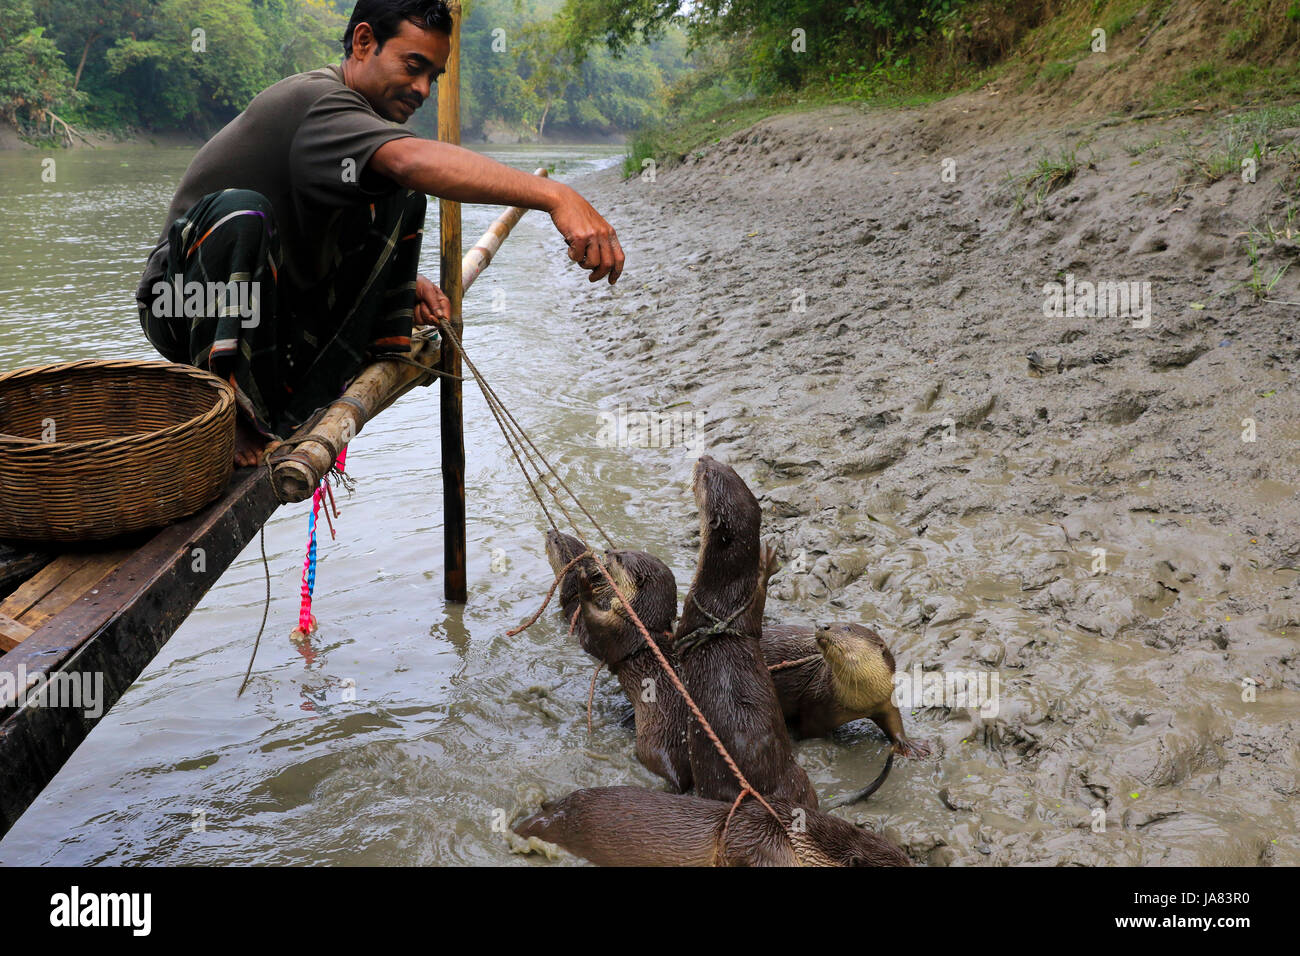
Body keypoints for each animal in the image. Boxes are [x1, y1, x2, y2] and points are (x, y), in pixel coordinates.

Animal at [670, 455, 811, 806]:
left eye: (708, 475)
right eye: (727, 467)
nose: (703, 457)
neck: (722, 598)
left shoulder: (690, 612)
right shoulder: (748, 609)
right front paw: (768, 561)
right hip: (800, 781)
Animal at [759, 624, 935, 759]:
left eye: (846, 628)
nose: (823, 625)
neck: (861, 702)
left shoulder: (885, 699)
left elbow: (894, 722)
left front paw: (911, 745)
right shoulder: (814, 705)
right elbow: (808, 731)